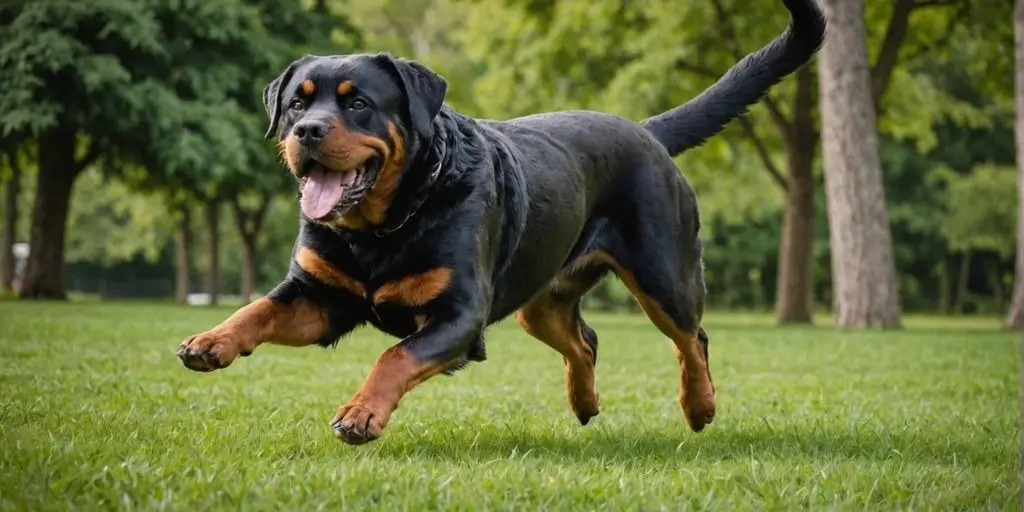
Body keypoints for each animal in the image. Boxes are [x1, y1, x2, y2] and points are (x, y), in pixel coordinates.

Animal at [178, 0, 823, 444]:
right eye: (297, 103)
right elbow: (258, 309)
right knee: (585, 339)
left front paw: (360, 413)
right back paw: (584, 404)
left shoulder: (459, 314)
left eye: (357, 102)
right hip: (541, 298)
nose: (307, 131)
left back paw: (700, 407)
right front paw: (211, 340)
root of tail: (647, 131)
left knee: (692, 338)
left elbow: (394, 358)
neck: (381, 228)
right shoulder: (319, 296)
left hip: (664, 273)